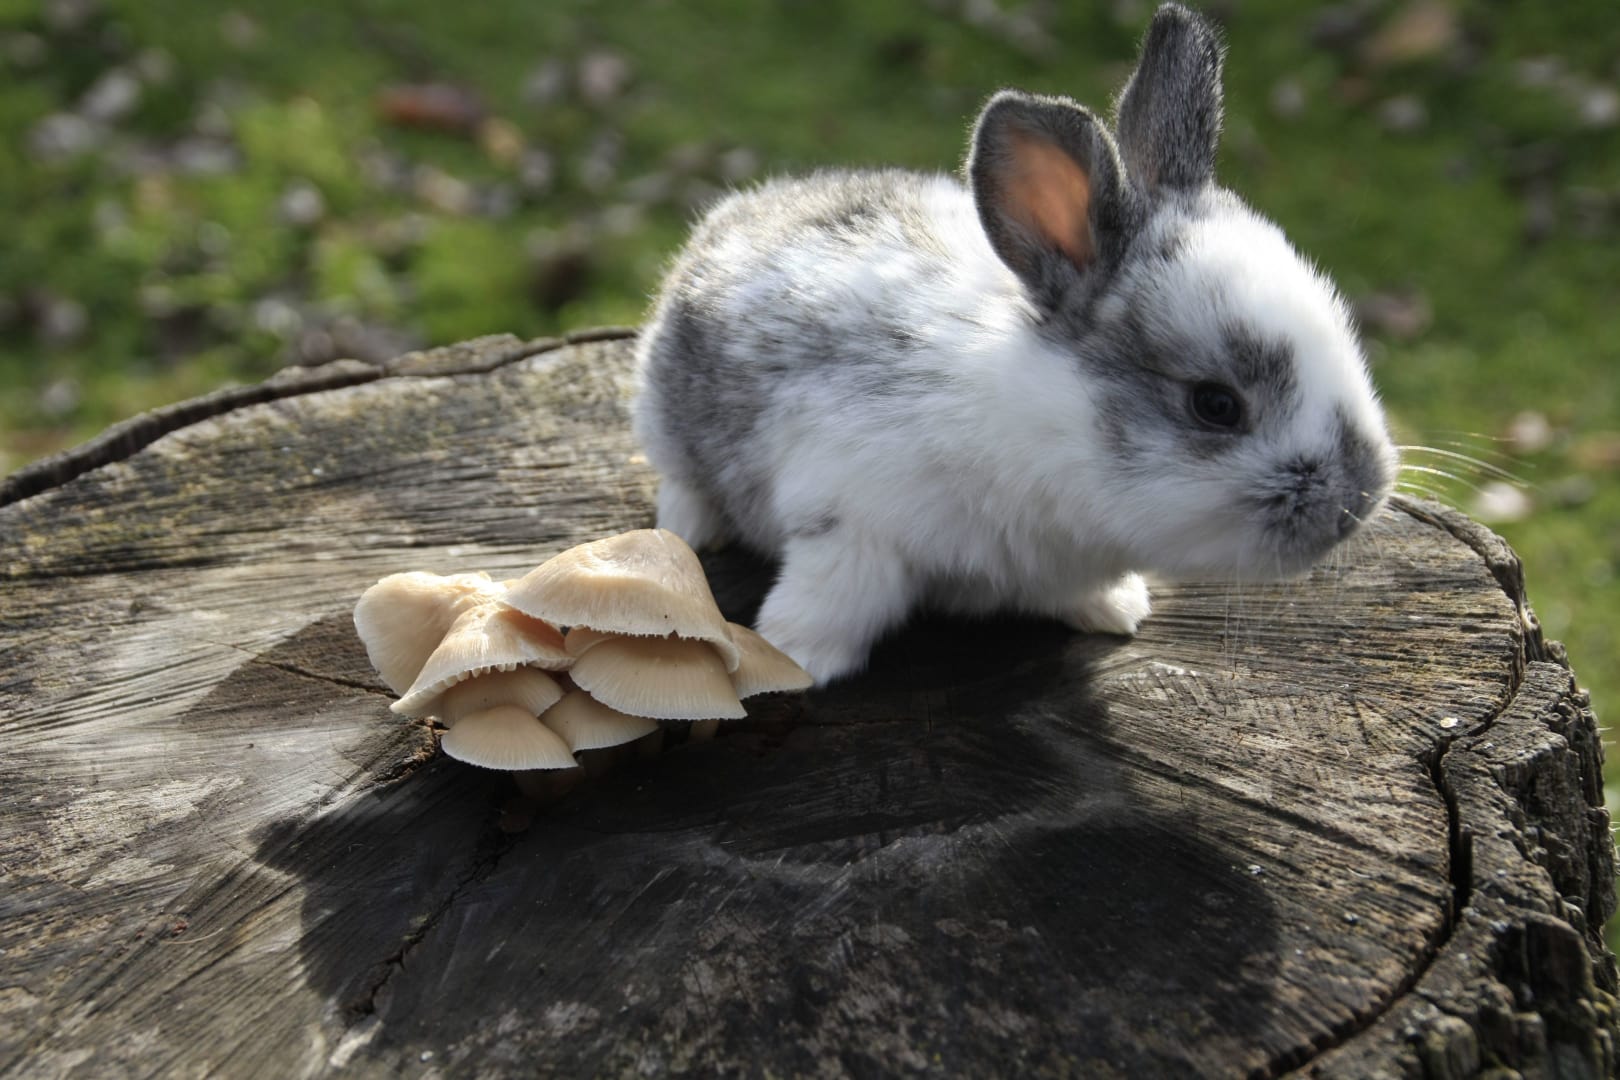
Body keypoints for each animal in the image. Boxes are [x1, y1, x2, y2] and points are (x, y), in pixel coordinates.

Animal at [632, 2, 1398, 685]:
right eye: (1215, 405)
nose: (1359, 501)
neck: (1043, 432)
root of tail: (739, 210)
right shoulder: (849, 525)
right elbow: (832, 600)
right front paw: (799, 661)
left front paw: (1117, 609)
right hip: (663, 410)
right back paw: (692, 529)